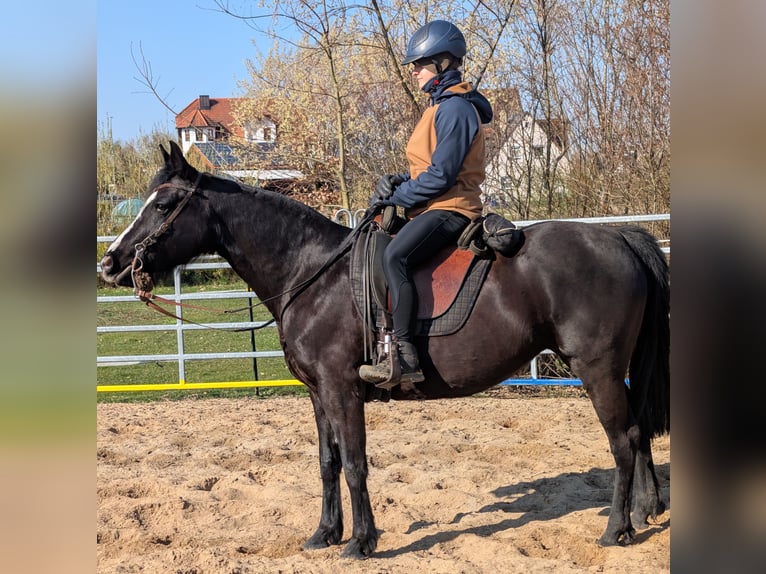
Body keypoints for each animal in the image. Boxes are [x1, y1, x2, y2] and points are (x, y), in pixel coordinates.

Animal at [100, 141, 669, 559]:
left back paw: (616, 529)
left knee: (622, 442)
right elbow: (327, 463)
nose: (111, 262)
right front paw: (324, 534)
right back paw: (646, 512)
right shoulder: (318, 394)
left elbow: (355, 464)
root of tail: (621, 236)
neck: (313, 273)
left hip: (596, 369)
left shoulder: (342, 389)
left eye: (164, 204)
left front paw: (360, 541)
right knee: (638, 434)